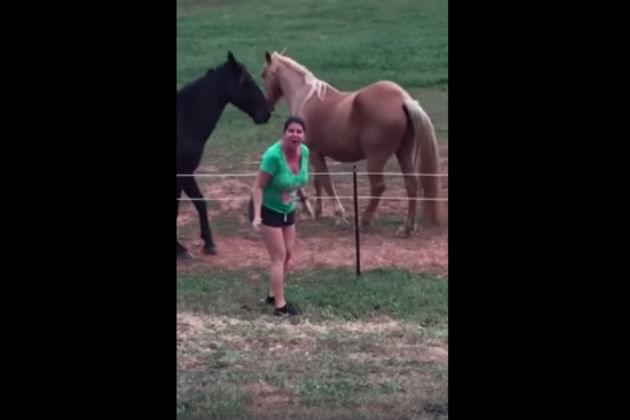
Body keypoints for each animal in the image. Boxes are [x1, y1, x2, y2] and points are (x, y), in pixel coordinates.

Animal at [177, 51, 270, 258]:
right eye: (248, 80)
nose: (267, 112)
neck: (184, 121)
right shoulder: (183, 174)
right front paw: (187, 248)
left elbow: (195, 203)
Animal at [260, 51, 442, 236]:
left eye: (263, 74)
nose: (267, 107)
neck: (306, 98)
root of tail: (403, 100)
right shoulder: (316, 154)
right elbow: (319, 181)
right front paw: (317, 212)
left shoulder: (314, 153)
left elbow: (326, 182)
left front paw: (338, 217)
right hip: (403, 153)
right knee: (412, 184)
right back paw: (406, 227)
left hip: (376, 159)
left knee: (378, 187)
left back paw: (365, 220)